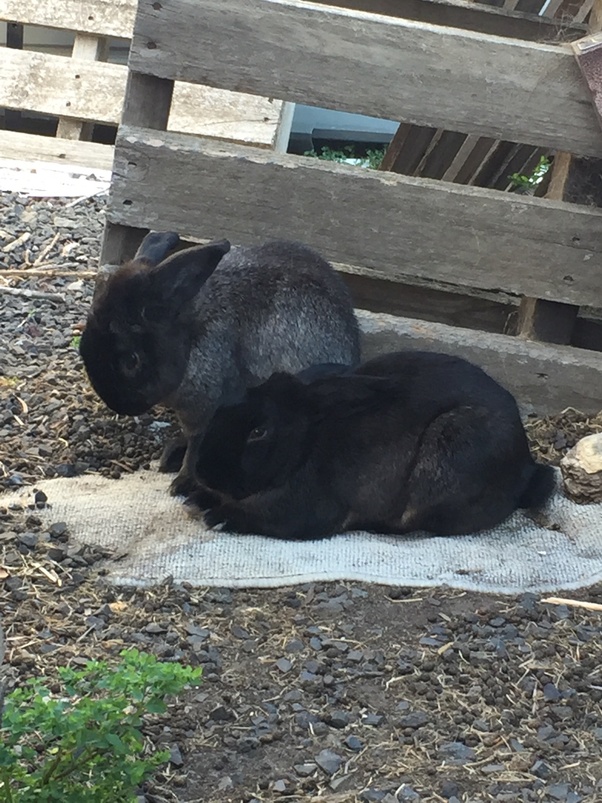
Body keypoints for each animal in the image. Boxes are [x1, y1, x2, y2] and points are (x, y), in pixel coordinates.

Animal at [79, 231, 361, 495]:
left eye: (131, 361)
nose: (116, 404)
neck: (191, 336)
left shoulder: (208, 411)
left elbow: (197, 449)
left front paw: (182, 484)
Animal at [187, 350, 556, 540]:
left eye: (259, 431)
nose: (204, 473)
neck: (306, 436)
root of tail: (525, 467)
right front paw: (195, 497)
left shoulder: (303, 506)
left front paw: (217, 516)